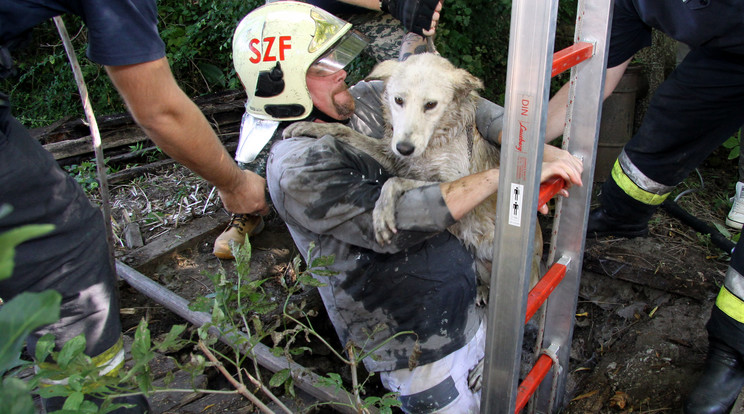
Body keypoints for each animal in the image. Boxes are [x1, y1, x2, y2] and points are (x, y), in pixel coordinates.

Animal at [284, 53, 540, 300]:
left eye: (430, 105)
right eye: (398, 100)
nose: (404, 148)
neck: (434, 142)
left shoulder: (452, 180)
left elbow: (393, 181)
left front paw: (382, 211)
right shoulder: (391, 156)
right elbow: (344, 130)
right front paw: (312, 127)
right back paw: (482, 290)